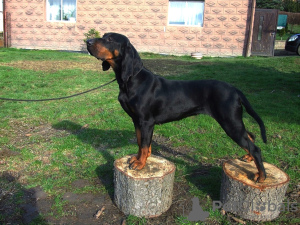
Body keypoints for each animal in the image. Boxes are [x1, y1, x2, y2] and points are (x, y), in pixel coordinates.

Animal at [86, 32, 268, 182]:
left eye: (110, 39)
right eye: (104, 35)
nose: (87, 41)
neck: (131, 80)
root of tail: (235, 89)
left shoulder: (146, 121)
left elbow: (144, 144)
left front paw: (140, 164)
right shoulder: (137, 121)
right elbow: (141, 143)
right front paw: (138, 159)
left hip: (230, 122)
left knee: (255, 148)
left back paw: (261, 175)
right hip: (233, 121)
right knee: (251, 136)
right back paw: (248, 158)